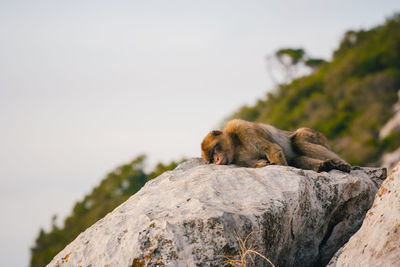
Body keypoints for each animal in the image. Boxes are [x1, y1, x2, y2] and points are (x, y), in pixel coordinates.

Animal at [200, 120, 350, 174]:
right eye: (211, 159)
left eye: (214, 151)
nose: (217, 160)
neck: (236, 145)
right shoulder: (238, 158)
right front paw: (260, 164)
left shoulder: (244, 129)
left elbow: (272, 149)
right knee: (296, 158)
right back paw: (323, 166)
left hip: (315, 136)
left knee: (298, 142)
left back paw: (341, 163)